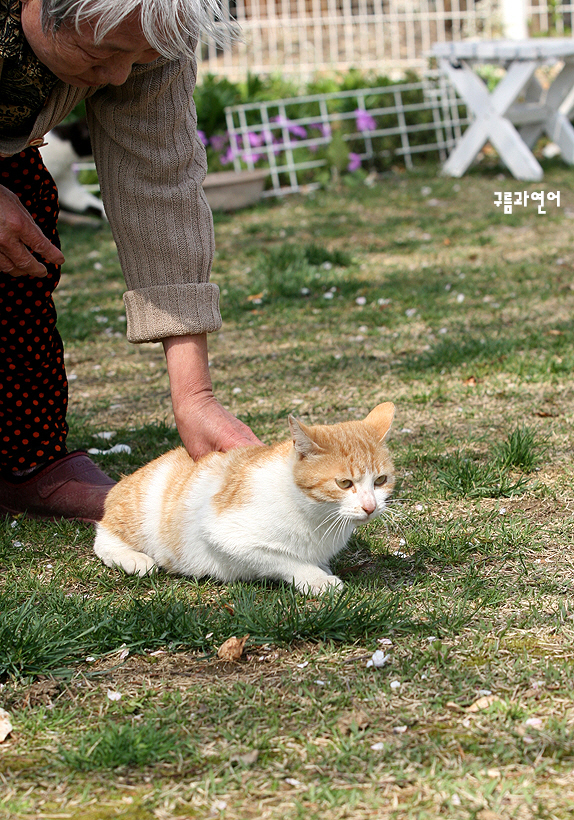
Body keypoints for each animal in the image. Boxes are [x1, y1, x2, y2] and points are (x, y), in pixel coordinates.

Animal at [94, 402, 396, 588]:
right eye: (344, 483)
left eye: (381, 480)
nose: (370, 507)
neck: (317, 516)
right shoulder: (228, 536)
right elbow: (286, 559)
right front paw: (316, 578)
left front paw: (321, 569)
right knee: (102, 537)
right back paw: (134, 559)